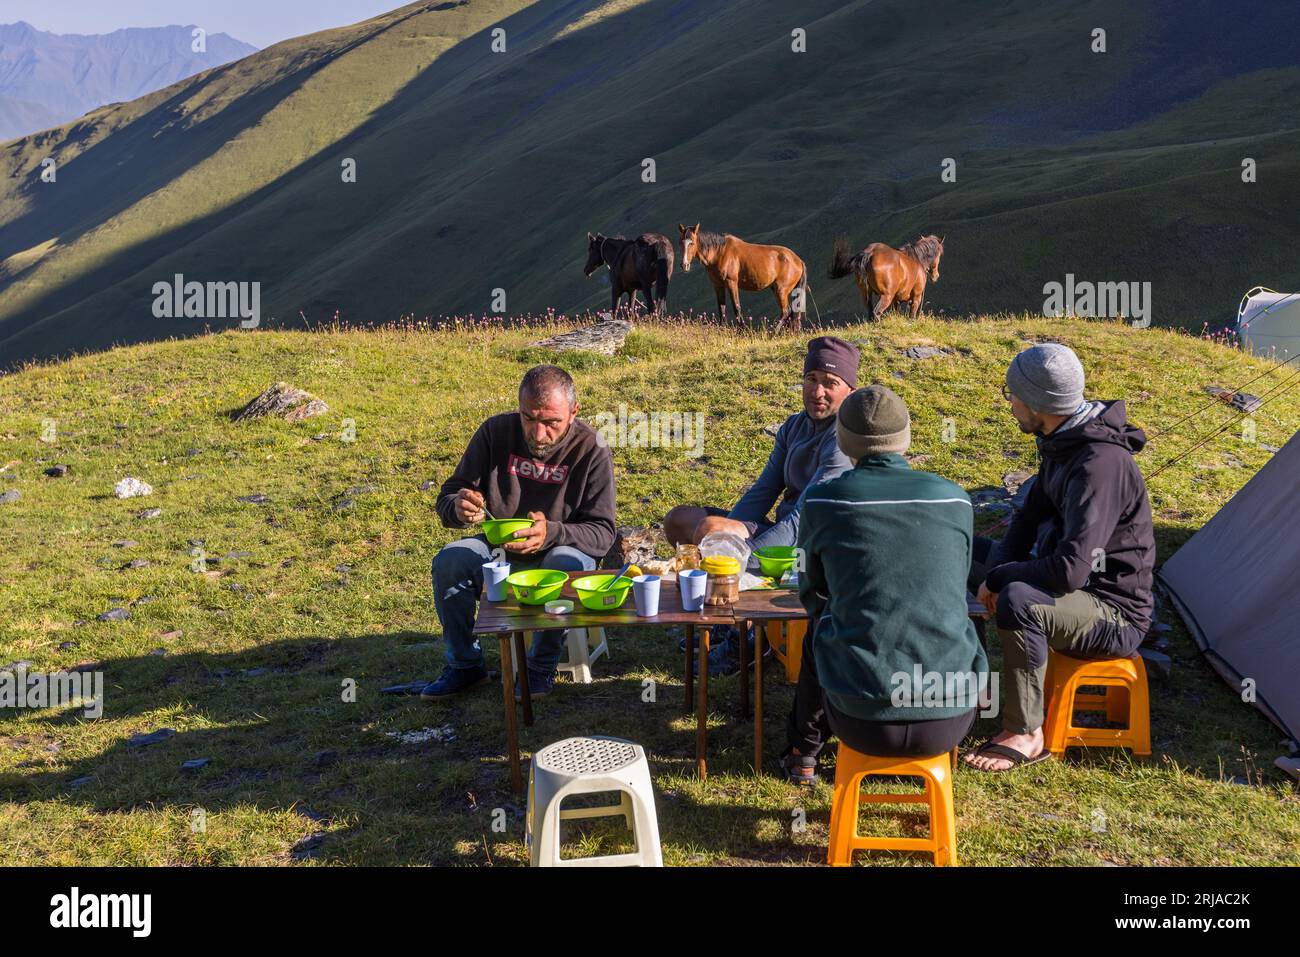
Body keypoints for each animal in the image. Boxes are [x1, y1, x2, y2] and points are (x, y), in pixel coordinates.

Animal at [676, 223, 806, 332]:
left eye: (692, 243)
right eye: (681, 243)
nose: (684, 265)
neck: (720, 252)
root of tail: (798, 260)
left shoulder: (731, 283)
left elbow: (736, 306)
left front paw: (743, 330)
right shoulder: (718, 285)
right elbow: (721, 308)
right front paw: (722, 329)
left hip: (781, 290)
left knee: (785, 311)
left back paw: (773, 332)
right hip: (778, 289)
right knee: (790, 313)